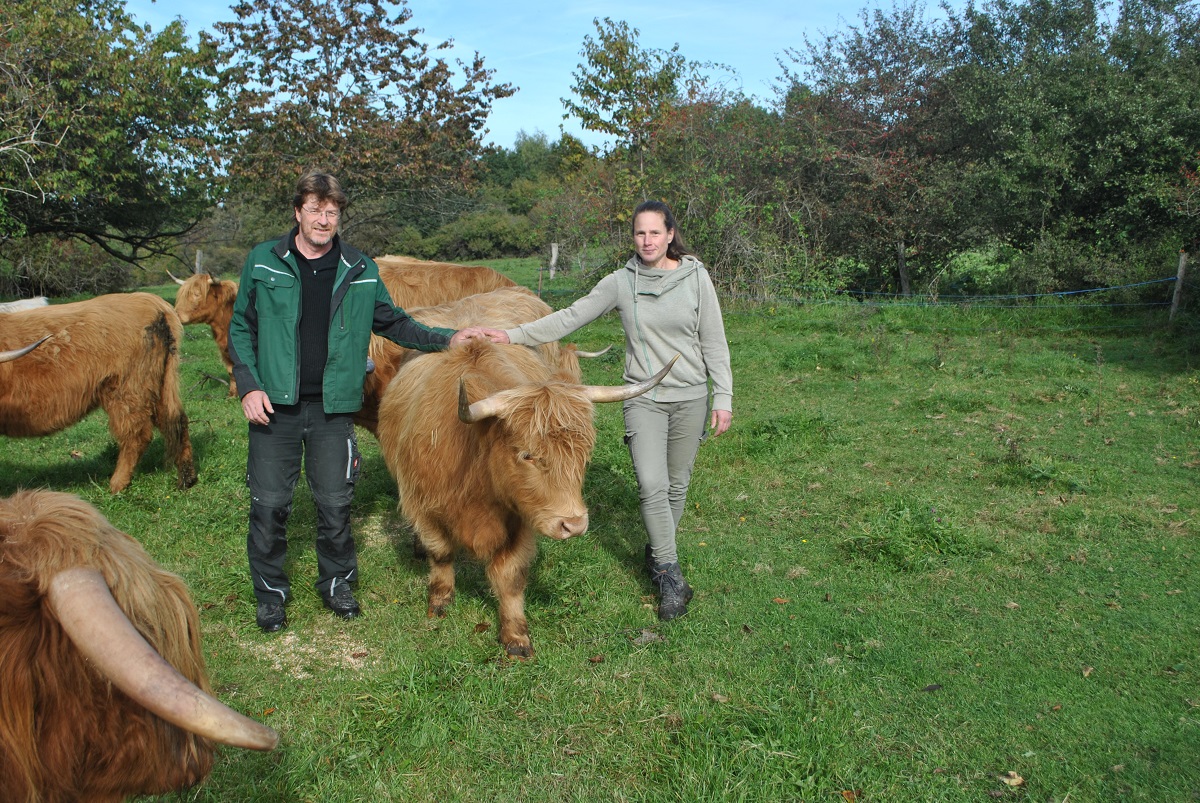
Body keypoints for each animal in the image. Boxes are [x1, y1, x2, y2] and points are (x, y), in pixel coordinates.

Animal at [0, 291, 196, 492]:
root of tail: (152, 302)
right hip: (157, 384)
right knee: (175, 421)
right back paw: (186, 479)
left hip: (127, 389)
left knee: (137, 434)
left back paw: (117, 484)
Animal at [374, 338, 676, 657]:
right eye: (526, 455)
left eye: (584, 453)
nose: (574, 525)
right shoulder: (424, 506)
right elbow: (441, 553)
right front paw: (440, 600)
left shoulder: (520, 519)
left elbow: (511, 577)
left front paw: (516, 636)